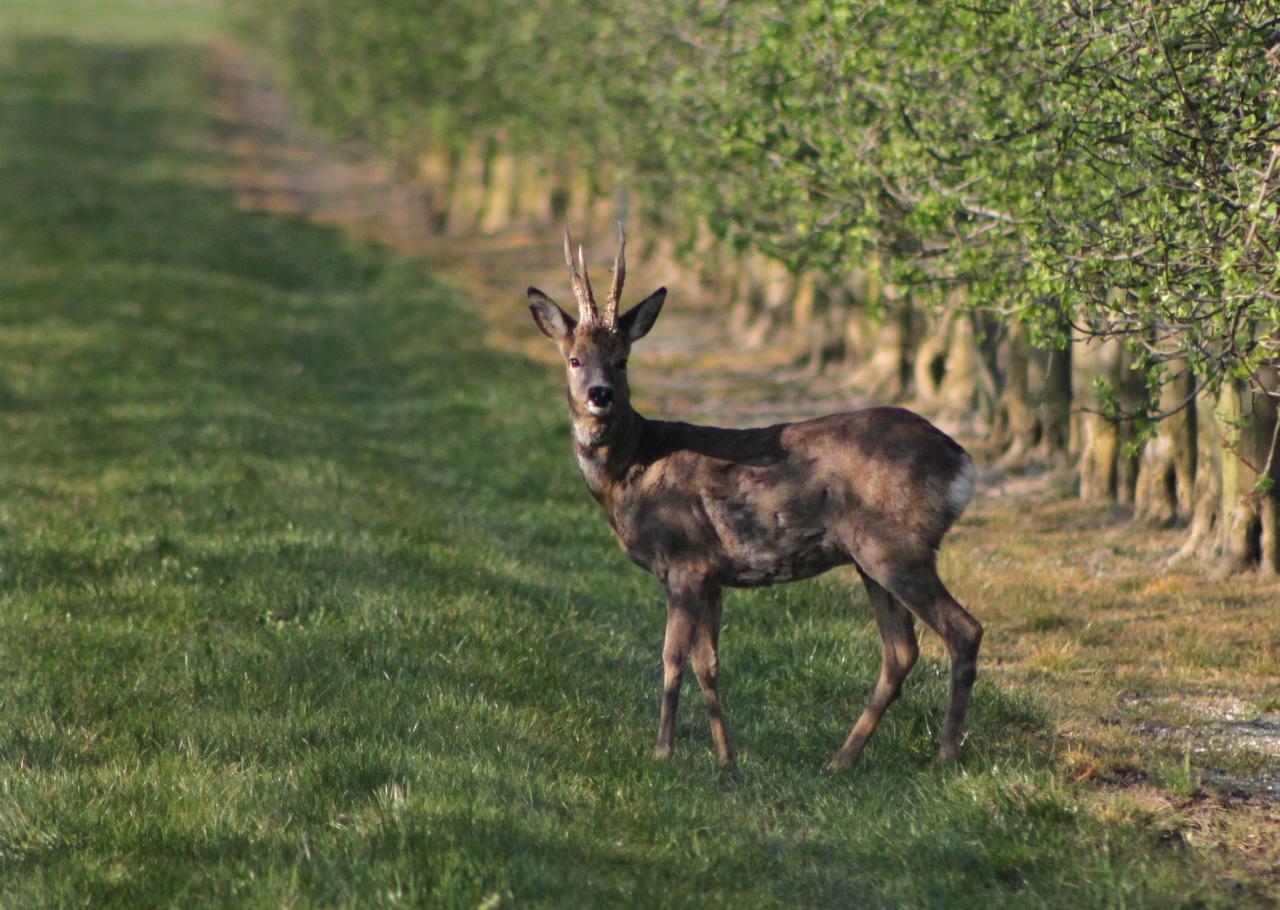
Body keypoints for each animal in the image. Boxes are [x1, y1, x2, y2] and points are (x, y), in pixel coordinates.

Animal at [527, 227, 977, 767]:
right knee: (901, 652)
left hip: (898, 546)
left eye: (622, 360)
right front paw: (725, 758)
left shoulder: (684, 560)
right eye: (574, 359)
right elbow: (709, 663)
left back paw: (944, 755)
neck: (634, 467)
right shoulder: (711, 574)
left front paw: (662, 751)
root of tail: (961, 462)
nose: (600, 394)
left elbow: (672, 659)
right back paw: (841, 760)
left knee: (962, 630)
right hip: (870, 559)